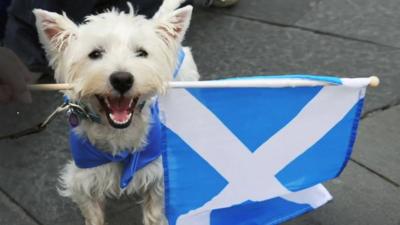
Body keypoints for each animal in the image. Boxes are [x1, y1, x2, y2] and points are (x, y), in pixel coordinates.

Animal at [32, 0, 200, 224]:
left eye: (142, 53)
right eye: (95, 54)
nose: (122, 79)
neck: (118, 135)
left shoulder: (157, 174)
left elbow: (155, 211)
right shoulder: (83, 178)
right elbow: (92, 213)